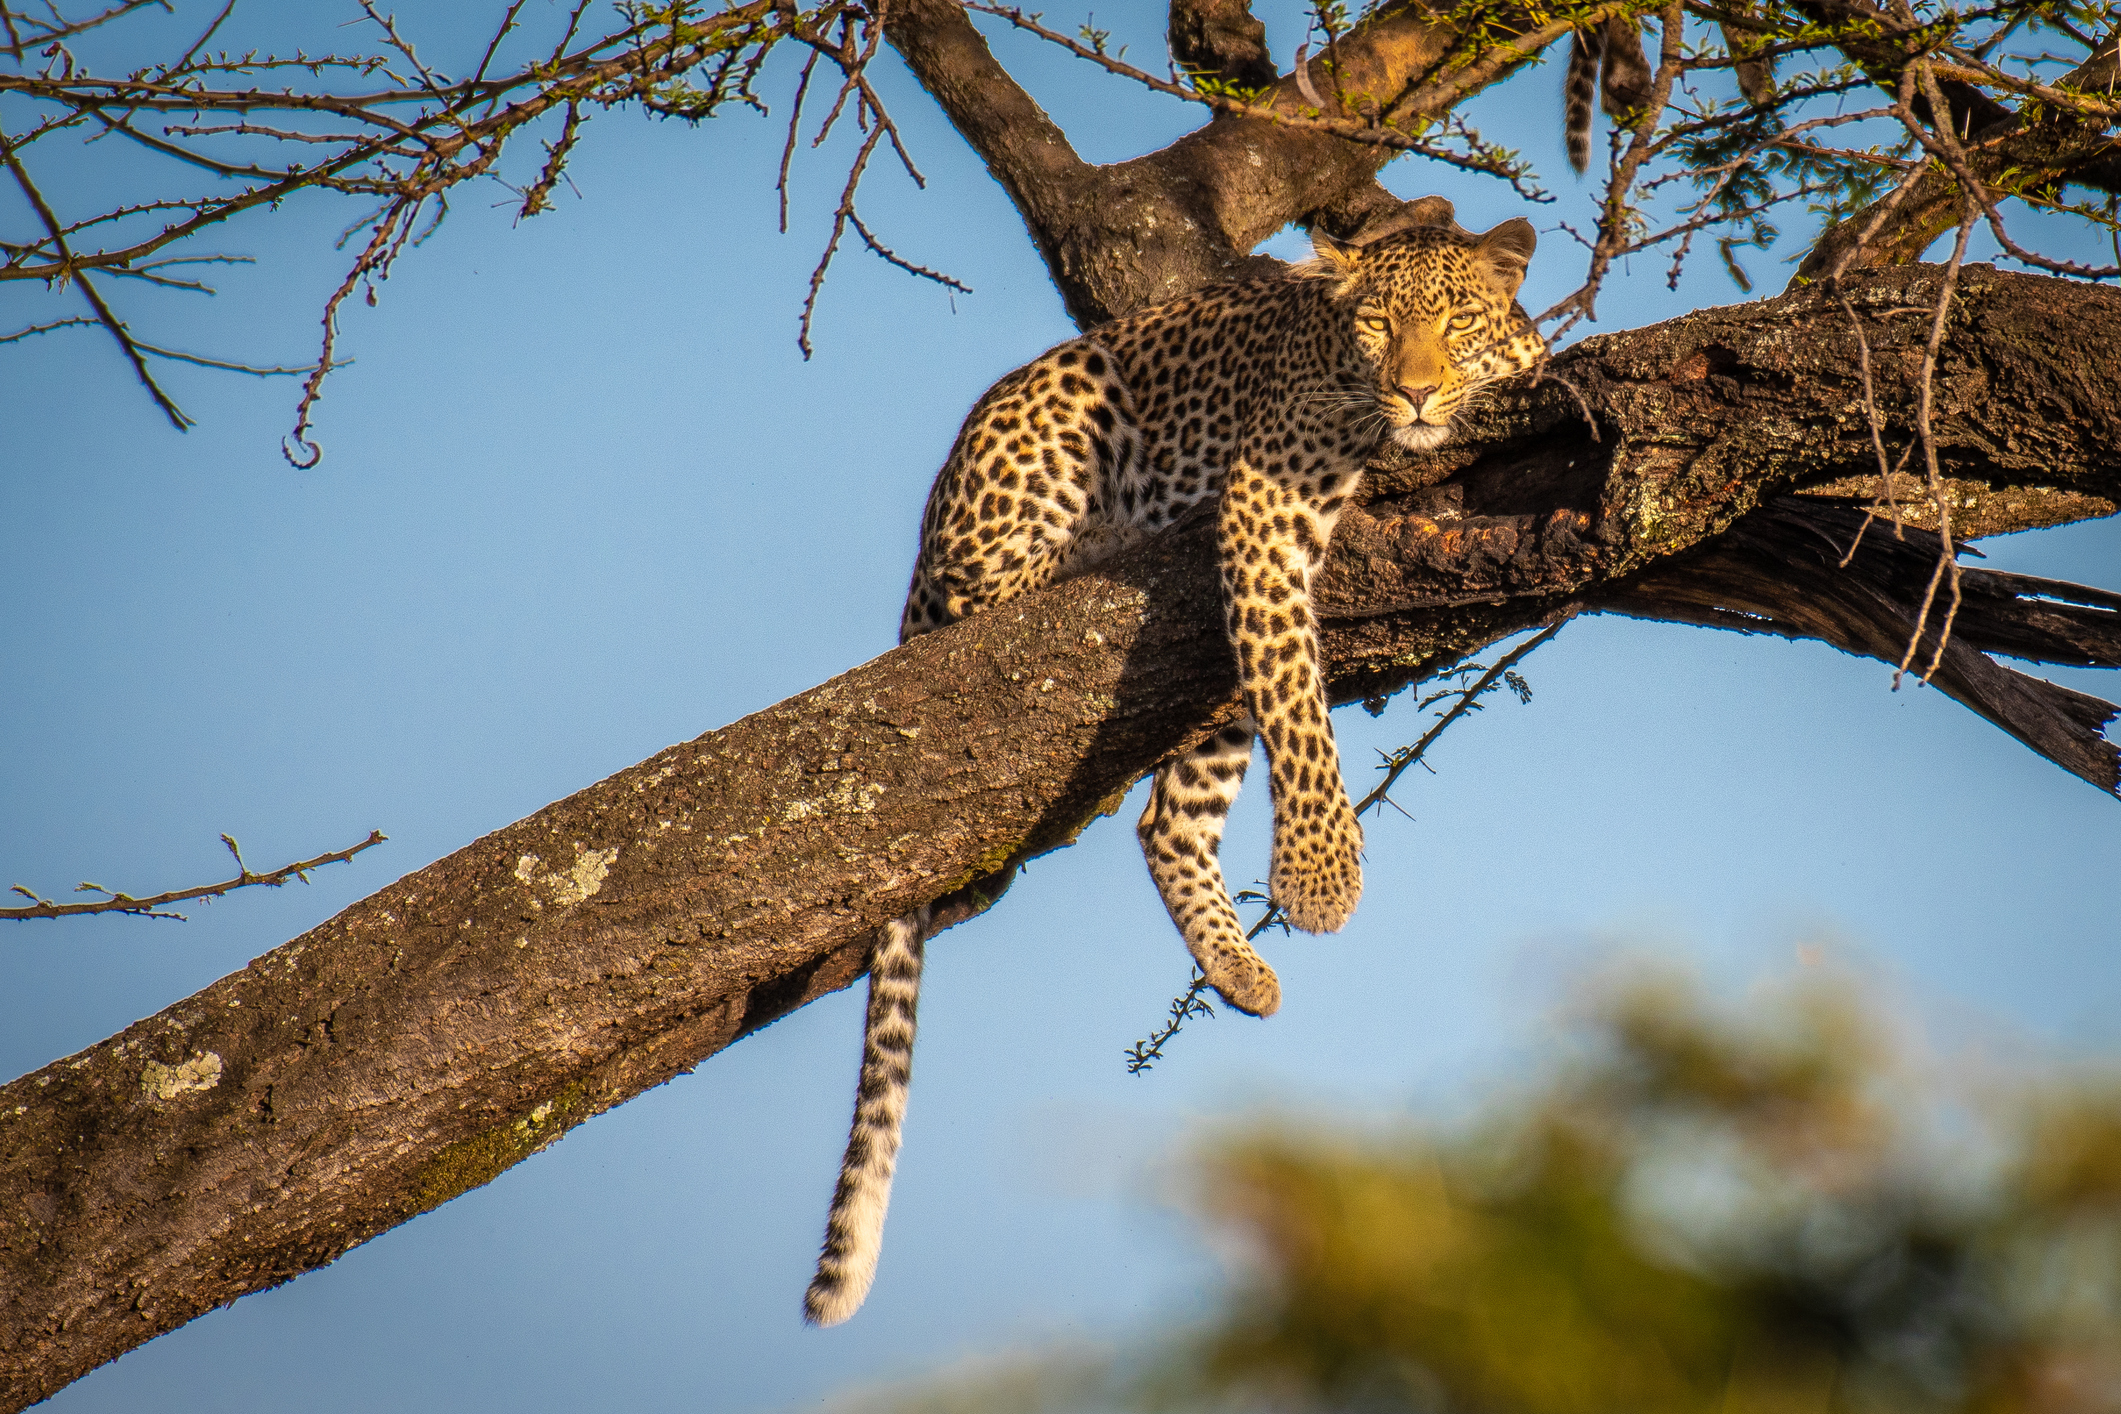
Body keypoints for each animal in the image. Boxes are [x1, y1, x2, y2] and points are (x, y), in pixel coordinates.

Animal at [803, 199, 1547, 1328]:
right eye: (1377, 324)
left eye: (1458, 318)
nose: (1416, 390)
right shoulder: (1268, 502)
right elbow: (1300, 698)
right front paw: (1322, 880)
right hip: (1060, 418)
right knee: (989, 587)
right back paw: (1097, 542)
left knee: (1169, 819)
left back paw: (1238, 970)